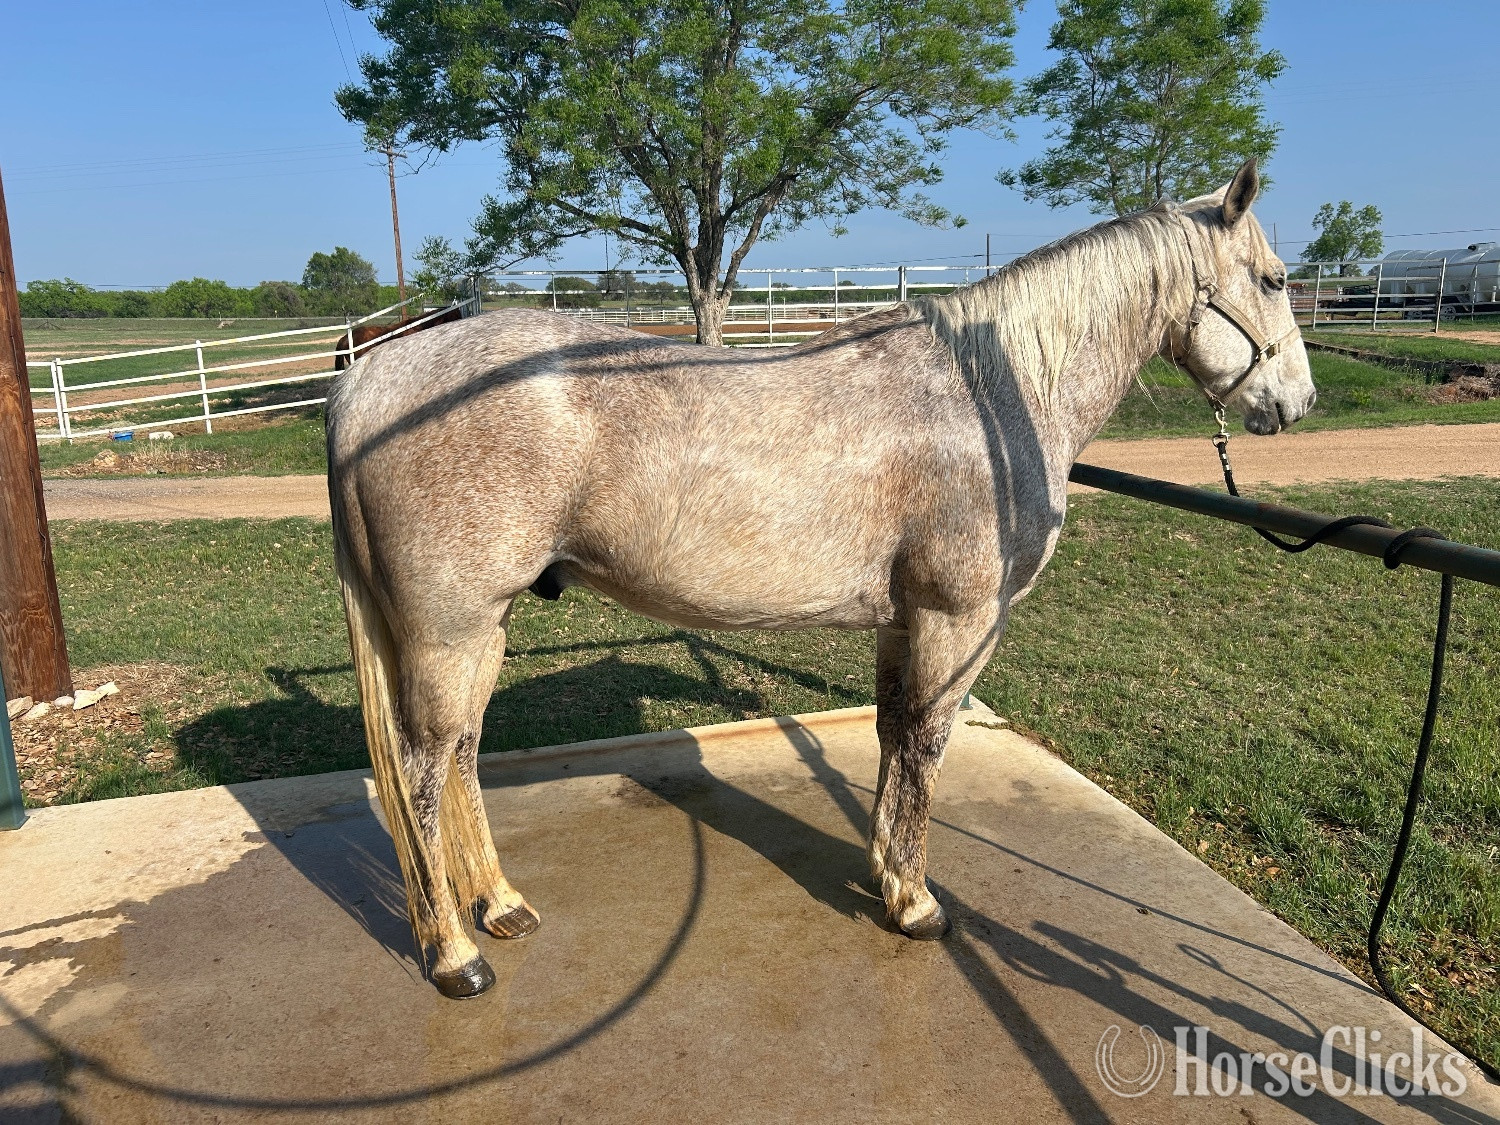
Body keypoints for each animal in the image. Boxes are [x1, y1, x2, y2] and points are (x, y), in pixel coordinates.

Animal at [325, 160, 1313, 998]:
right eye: (1273, 279)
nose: (1296, 404)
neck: (991, 398)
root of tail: (368, 381)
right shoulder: (957, 620)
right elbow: (926, 745)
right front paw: (917, 904)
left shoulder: (903, 621)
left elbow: (892, 737)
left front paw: (885, 874)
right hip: (450, 632)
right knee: (421, 770)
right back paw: (455, 955)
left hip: (478, 631)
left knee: (460, 755)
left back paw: (500, 905)